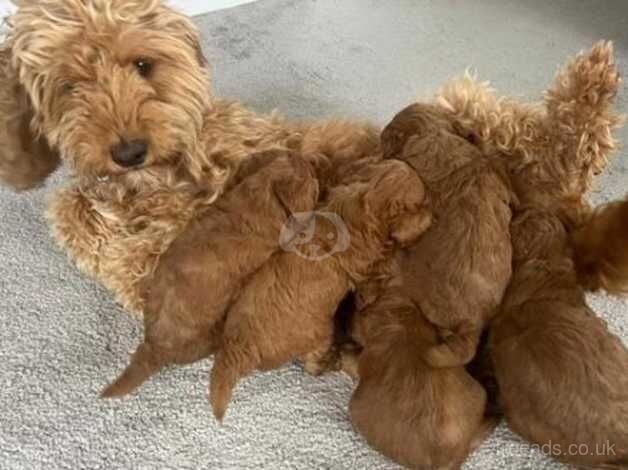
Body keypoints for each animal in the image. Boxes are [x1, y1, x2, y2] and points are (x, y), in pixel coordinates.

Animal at [209, 160, 430, 420]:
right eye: (421, 202)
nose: (431, 207)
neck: (366, 195)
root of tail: (239, 346)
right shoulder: (365, 262)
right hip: (320, 332)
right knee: (311, 363)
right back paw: (330, 361)